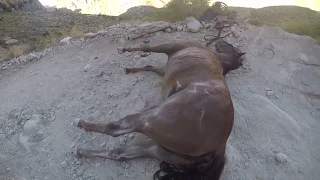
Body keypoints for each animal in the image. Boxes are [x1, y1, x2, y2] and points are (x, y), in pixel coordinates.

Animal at [72, 41, 245, 179]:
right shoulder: (164, 68)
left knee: (118, 128)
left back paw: (80, 123)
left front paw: (123, 49)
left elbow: (148, 47)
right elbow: (151, 67)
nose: (220, 41)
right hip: (157, 148)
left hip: (151, 120)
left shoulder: (172, 46)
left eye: (230, 46)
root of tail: (219, 146)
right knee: (119, 154)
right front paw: (130, 69)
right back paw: (82, 151)